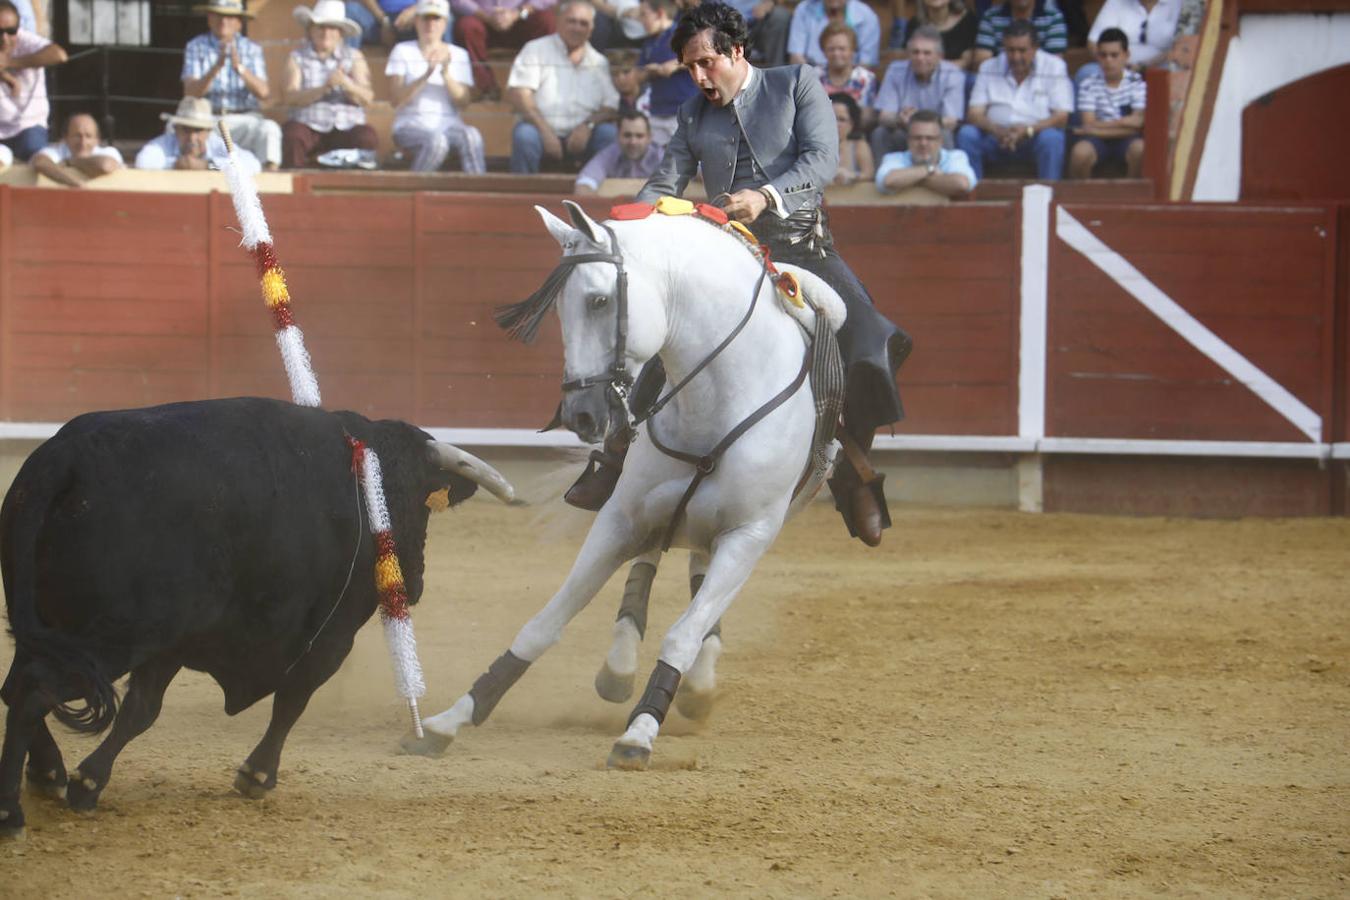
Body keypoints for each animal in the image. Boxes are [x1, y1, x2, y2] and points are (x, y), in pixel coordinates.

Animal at [1, 396, 491, 836]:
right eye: (412, 504)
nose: (414, 581)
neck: (364, 481)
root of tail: (67, 458)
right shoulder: (330, 639)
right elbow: (291, 701)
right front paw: (256, 775)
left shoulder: (174, 646)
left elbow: (142, 709)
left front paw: (85, 781)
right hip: (110, 640)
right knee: (32, 693)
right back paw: (12, 813)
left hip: (51, 627)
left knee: (17, 686)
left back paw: (46, 775)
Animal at [405, 201, 837, 771]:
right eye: (561, 310)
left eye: (599, 300)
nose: (580, 415)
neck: (715, 397)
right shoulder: (620, 517)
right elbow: (545, 621)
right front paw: (451, 719)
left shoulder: (750, 533)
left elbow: (683, 633)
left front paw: (639, 733)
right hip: (658, 514)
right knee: (655, 562)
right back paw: (621, 667)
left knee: (700, 588)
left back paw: (693, 687)